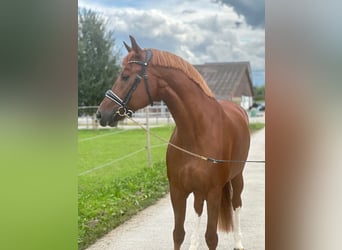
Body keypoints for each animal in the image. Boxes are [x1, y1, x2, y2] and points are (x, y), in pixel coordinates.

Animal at [97, 36, 251, 249]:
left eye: (125, 76)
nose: (101, 114)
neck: (196, 133)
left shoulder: (213, 192)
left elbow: (211, 237)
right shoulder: (177, 191)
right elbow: (178, 233)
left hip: (237, 178)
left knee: (236, 204)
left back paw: (238, 242)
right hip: (199, 189)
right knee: (198, 208)